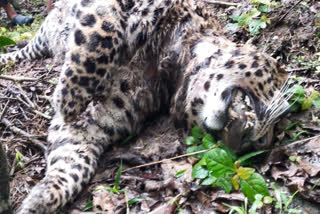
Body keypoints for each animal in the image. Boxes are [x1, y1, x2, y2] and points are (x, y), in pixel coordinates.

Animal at [0, 0, 290, 212]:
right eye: (274, 90)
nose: (259, 144)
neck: (172, 63)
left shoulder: (97, 120)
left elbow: (72, 162)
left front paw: (39, 199)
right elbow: (102, 33)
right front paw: (68, 99)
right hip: (43, 32)